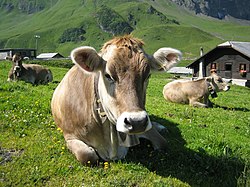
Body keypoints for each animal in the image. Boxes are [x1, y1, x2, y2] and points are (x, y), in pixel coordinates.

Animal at [50, 34, 182, 164]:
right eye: (108, 75)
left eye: (148, 75)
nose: (137, 122)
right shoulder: (70, 135)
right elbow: (87, 156)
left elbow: (163, 143)